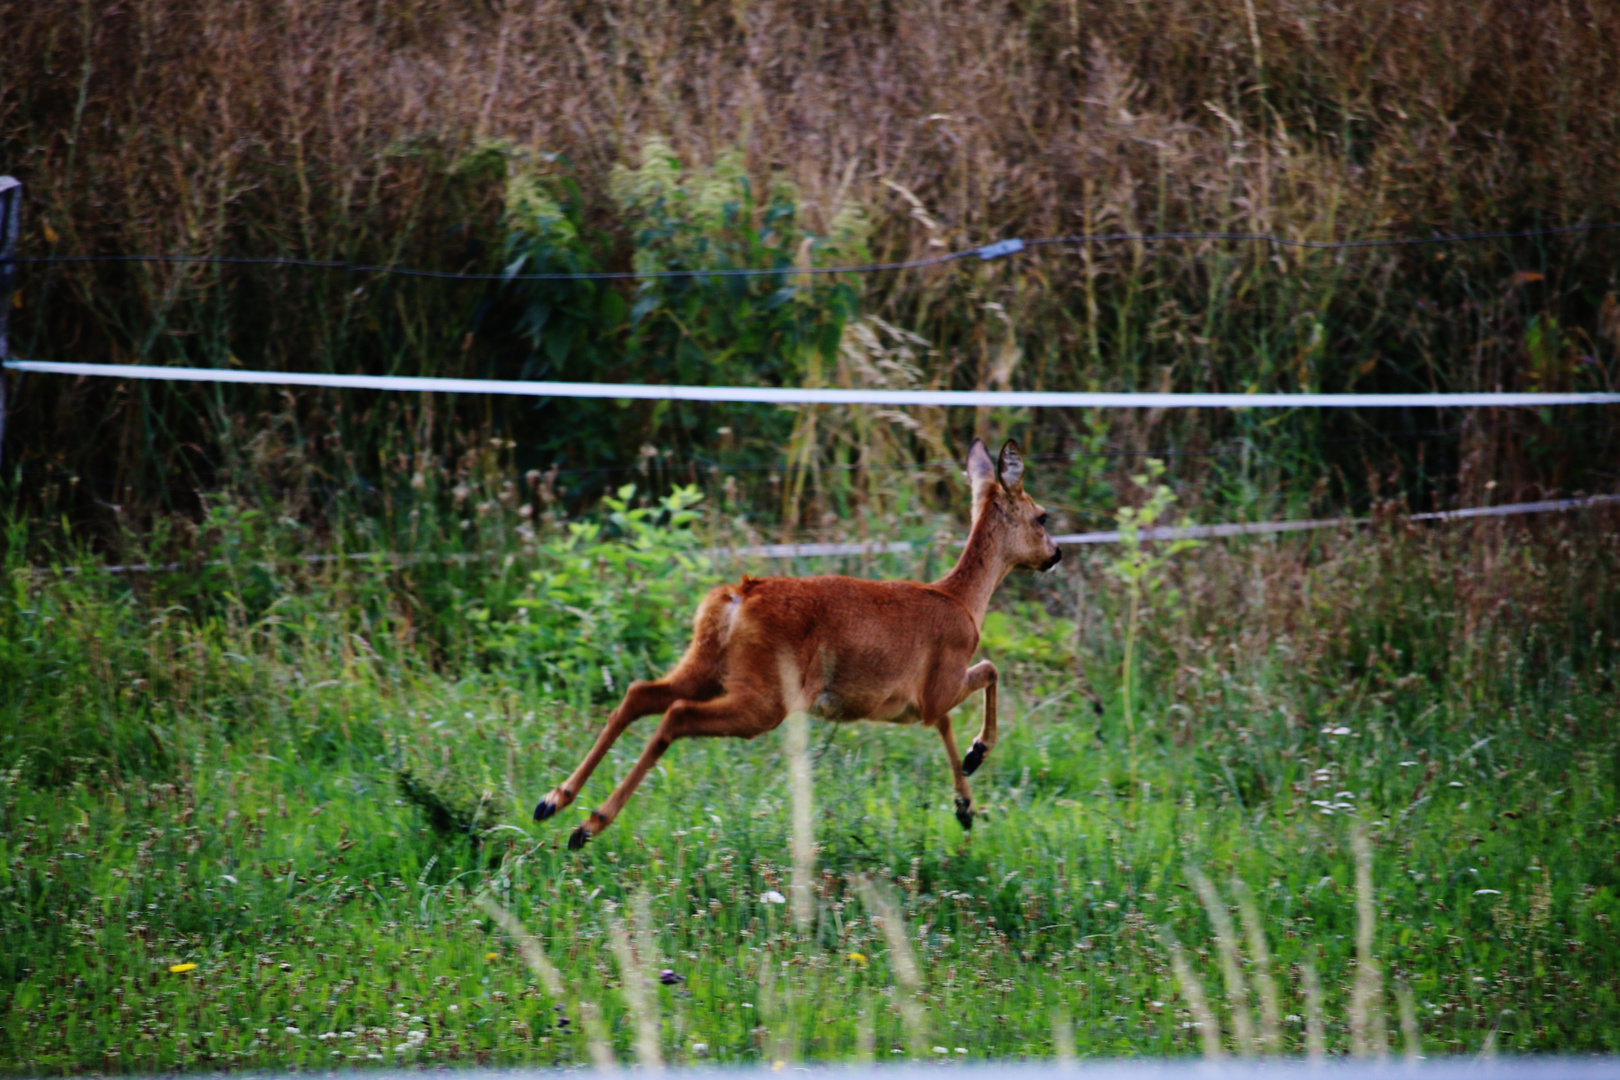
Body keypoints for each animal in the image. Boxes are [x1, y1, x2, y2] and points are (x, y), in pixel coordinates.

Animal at [531, 433, 1062, 848]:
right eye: (1042, 516)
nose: (1055, 555)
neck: (963, 600)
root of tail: (738, 597)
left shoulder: (921, 702)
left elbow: (953, 718)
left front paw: (966, 800)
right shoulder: (936, 686)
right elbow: (986, 676)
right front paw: (974, 766)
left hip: (707, 664)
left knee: (640, 693)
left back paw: (553, 802)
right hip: (768, 695)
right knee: (676, 714)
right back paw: (588, 825)